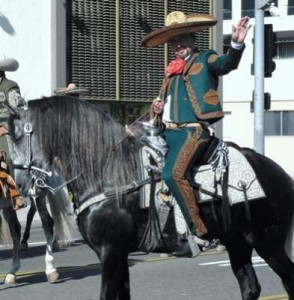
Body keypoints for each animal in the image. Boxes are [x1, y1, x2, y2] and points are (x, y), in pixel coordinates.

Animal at [2, 95, 294, 298]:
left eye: (16, 135)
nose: (20, 184)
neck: (108, 173)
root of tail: (281, 173)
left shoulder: (110, 251)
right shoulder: (118, 254)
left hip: (267, 241)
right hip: (237, 242)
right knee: (250, 288)